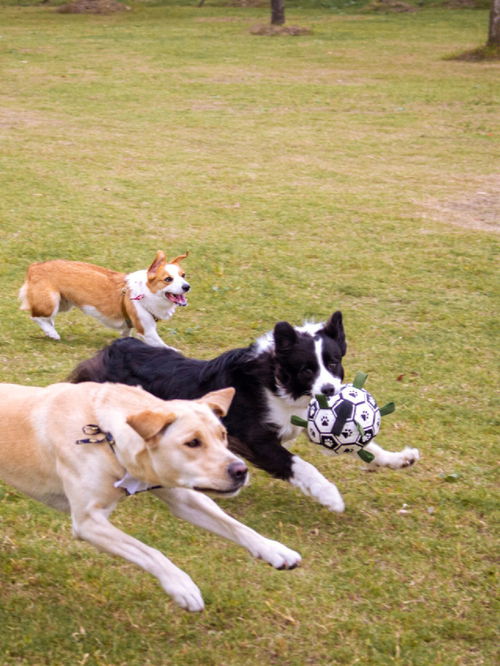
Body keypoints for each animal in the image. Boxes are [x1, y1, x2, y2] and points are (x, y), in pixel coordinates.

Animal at [0, 382, 300, 608]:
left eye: (222, 435)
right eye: (192, 442)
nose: (241, 470)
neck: (105, 435)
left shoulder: (181, 496)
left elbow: (236, 526)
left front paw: (274, 549)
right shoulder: (88, 522)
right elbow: (150, 552)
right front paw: (181, 585)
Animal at [18, 250, 189, 348]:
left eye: (183, 275)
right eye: (168, 279)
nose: (187, 287)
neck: (146, 293)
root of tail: (35, 266)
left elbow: (126, 334)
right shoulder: (147, 331)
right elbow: (166, 347)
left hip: (63, 303)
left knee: (46, 318)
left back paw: (50, 330)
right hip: (51, 301)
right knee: (35, 316)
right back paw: (52, 333)